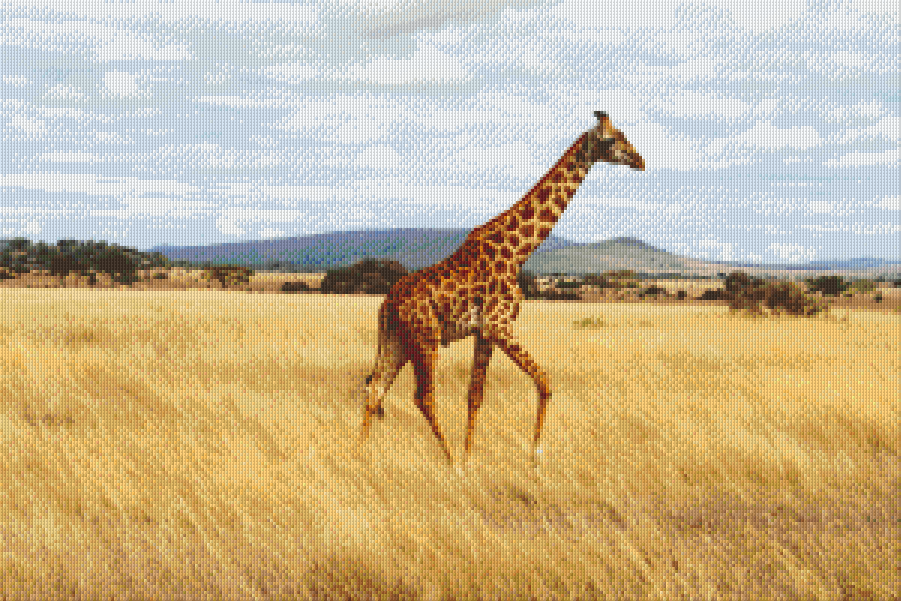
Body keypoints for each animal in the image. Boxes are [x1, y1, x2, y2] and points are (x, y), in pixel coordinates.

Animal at [359, 111, 644, 463]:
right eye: (611, 139)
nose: (639, 160)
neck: (519, 252)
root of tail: (387, 304)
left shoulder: (484, 332)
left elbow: (475, 395)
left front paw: (471, 460)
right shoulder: (500, 325)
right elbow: (544, 381)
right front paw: (533, 457)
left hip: (397, 340)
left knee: (375, 388)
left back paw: (361, 455)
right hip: (426, 338)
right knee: (422, 397)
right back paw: (449, 462)